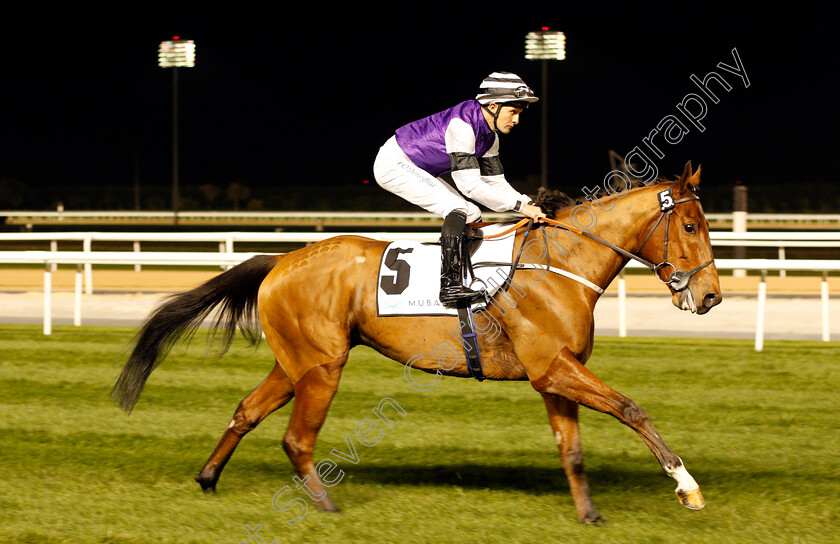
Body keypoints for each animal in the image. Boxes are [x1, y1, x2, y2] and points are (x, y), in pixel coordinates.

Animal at [111, 160, 720, 524]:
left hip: (296, 362)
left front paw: (589, 514)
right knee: (296, 438)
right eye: (691, 227)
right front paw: (687, 486)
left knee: (246, 411)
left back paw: (209, 477)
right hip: (322, 367)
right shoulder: (553, 367)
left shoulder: (554, 375)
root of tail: (282, 260)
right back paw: (325, 505)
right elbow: (631, 408)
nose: (711, 296)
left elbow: (570, 448)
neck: (559, 265)